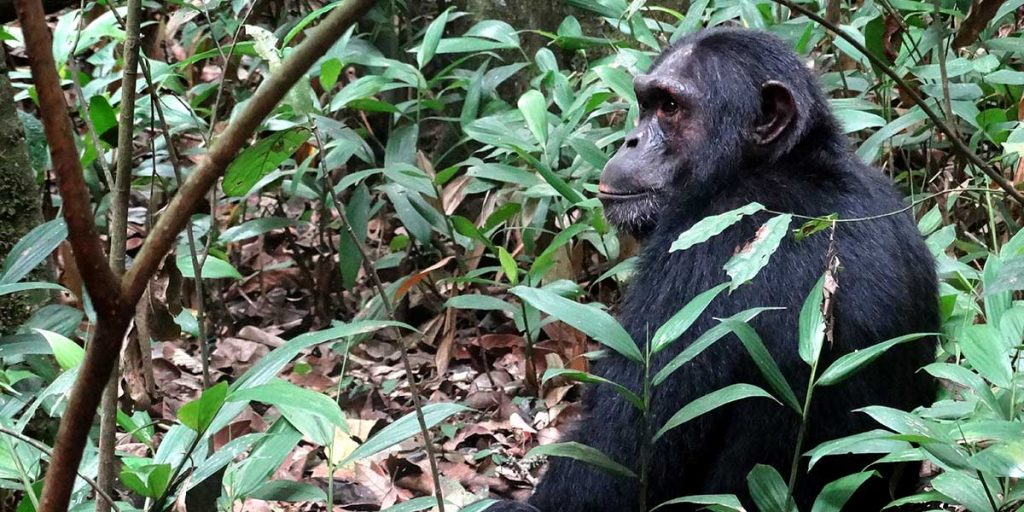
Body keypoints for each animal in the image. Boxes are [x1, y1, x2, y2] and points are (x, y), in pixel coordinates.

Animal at [487, 28, 937, 512]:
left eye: (670, 107)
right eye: (646, 102)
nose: (630, 140)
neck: (778, 165)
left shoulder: (697, 251)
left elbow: (614, 464)